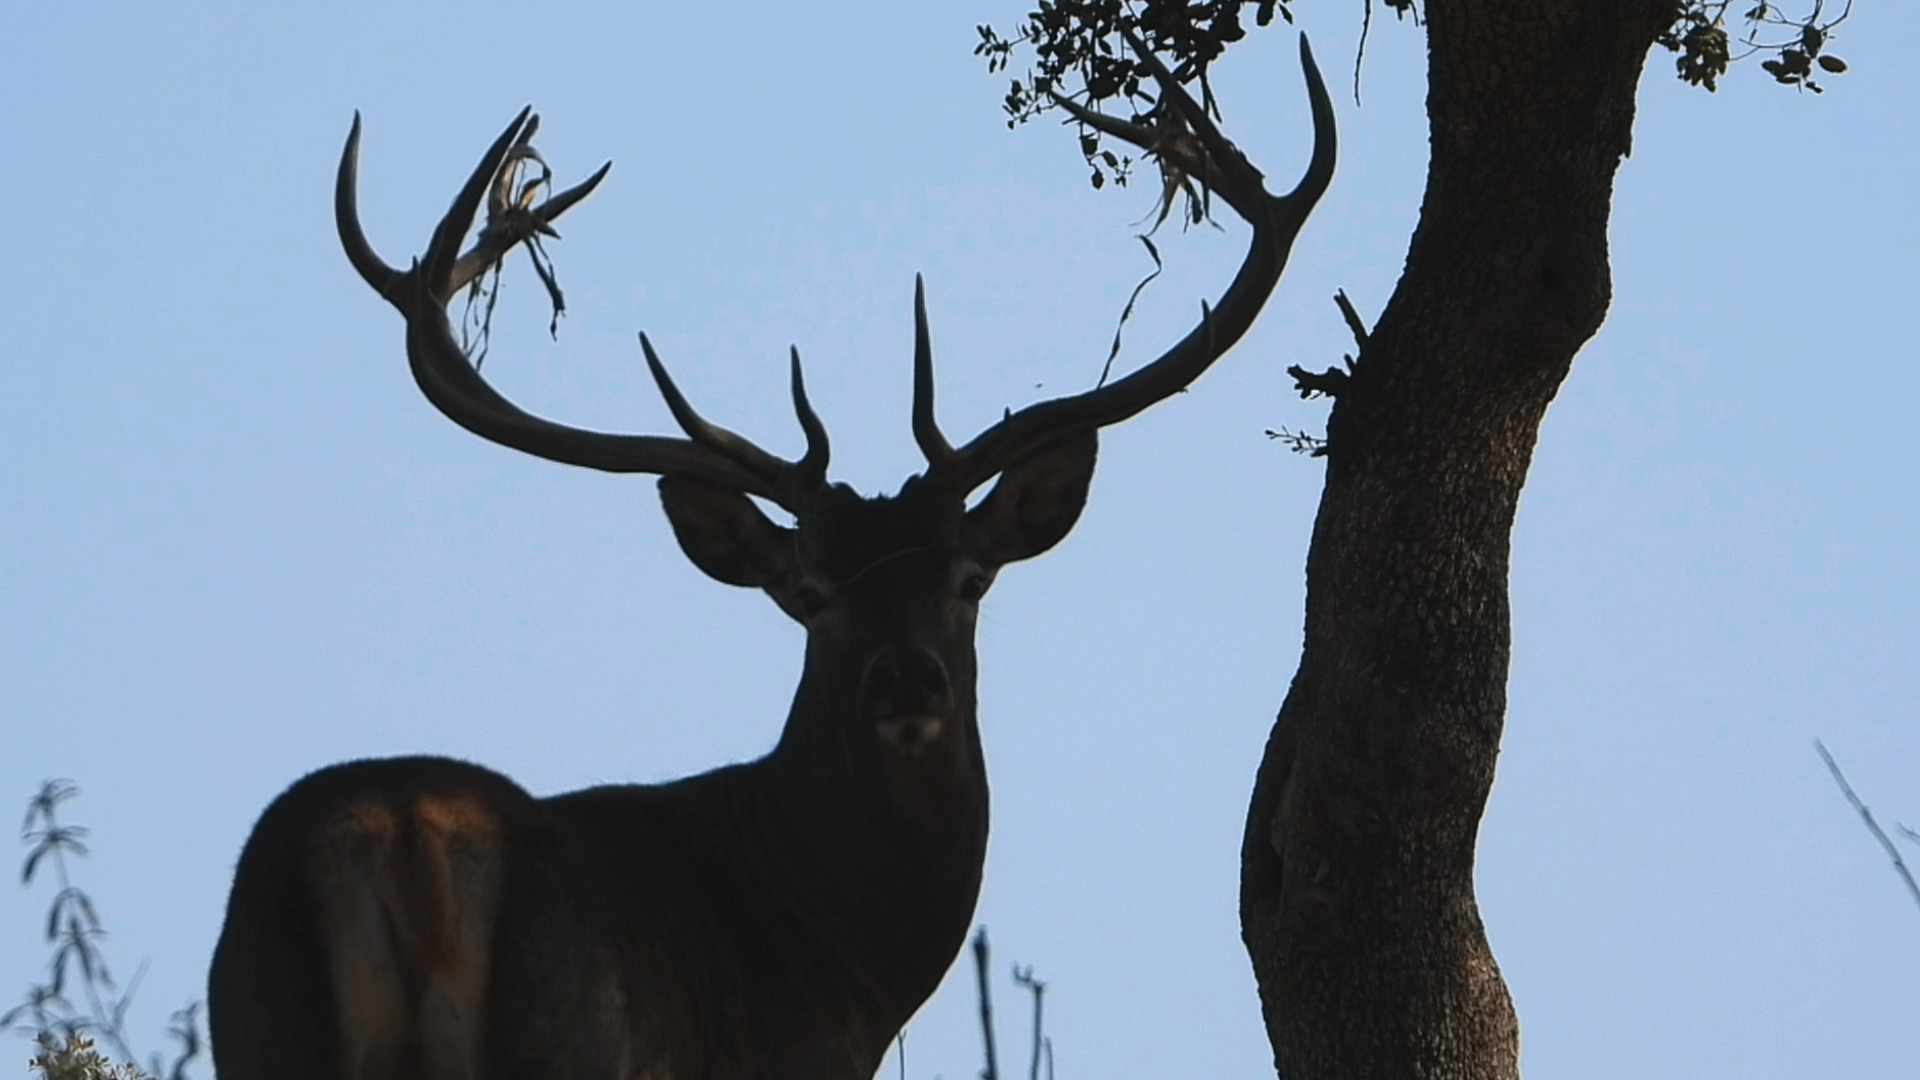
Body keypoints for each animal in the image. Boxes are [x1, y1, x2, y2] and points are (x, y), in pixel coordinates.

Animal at [206, 33, 1320, 1076]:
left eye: (967, 580)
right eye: (811, 592)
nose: (906, 677)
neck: (840, 964)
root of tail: (400, 835)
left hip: (261, 1024)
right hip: (565, 1030)